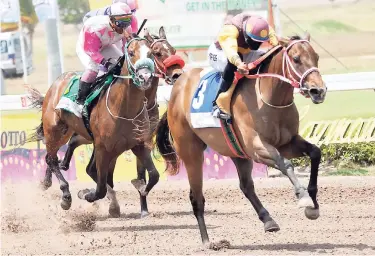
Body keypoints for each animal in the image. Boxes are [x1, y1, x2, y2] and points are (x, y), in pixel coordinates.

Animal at [28, 32, 156, 212]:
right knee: (51, 159)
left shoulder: (139, 144)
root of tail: (56, 83)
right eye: (131, 53)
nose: (144, 77)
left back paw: (48, 180)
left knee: (58, 153)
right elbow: (100, 187)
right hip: (54, 131)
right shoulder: (103, 148)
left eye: (151, 53)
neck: (124, 108)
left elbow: (154, 176)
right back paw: (65, 195)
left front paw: (140, 187)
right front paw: (85, 194)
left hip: (75, 132)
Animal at [55, 27, 184, 217]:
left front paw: (143, 204)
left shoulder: (142, 139)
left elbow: (145, 173)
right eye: (158, 53)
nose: (177, 75)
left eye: (173, 50)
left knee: (81, 152)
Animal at [154, 33, 328, 245]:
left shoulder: (287, 142)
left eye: (316, 57)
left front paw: (313, 203)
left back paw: (268, 220)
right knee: (196, 196)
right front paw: (303, 197)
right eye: (296, 59)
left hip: (236, 151)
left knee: (246, 186)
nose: (318, 91)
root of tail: (178, 86)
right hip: (191, 152)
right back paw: (207, 241)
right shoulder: (257, 147)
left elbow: (315, 152)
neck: (268, 98)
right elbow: (285, 164)